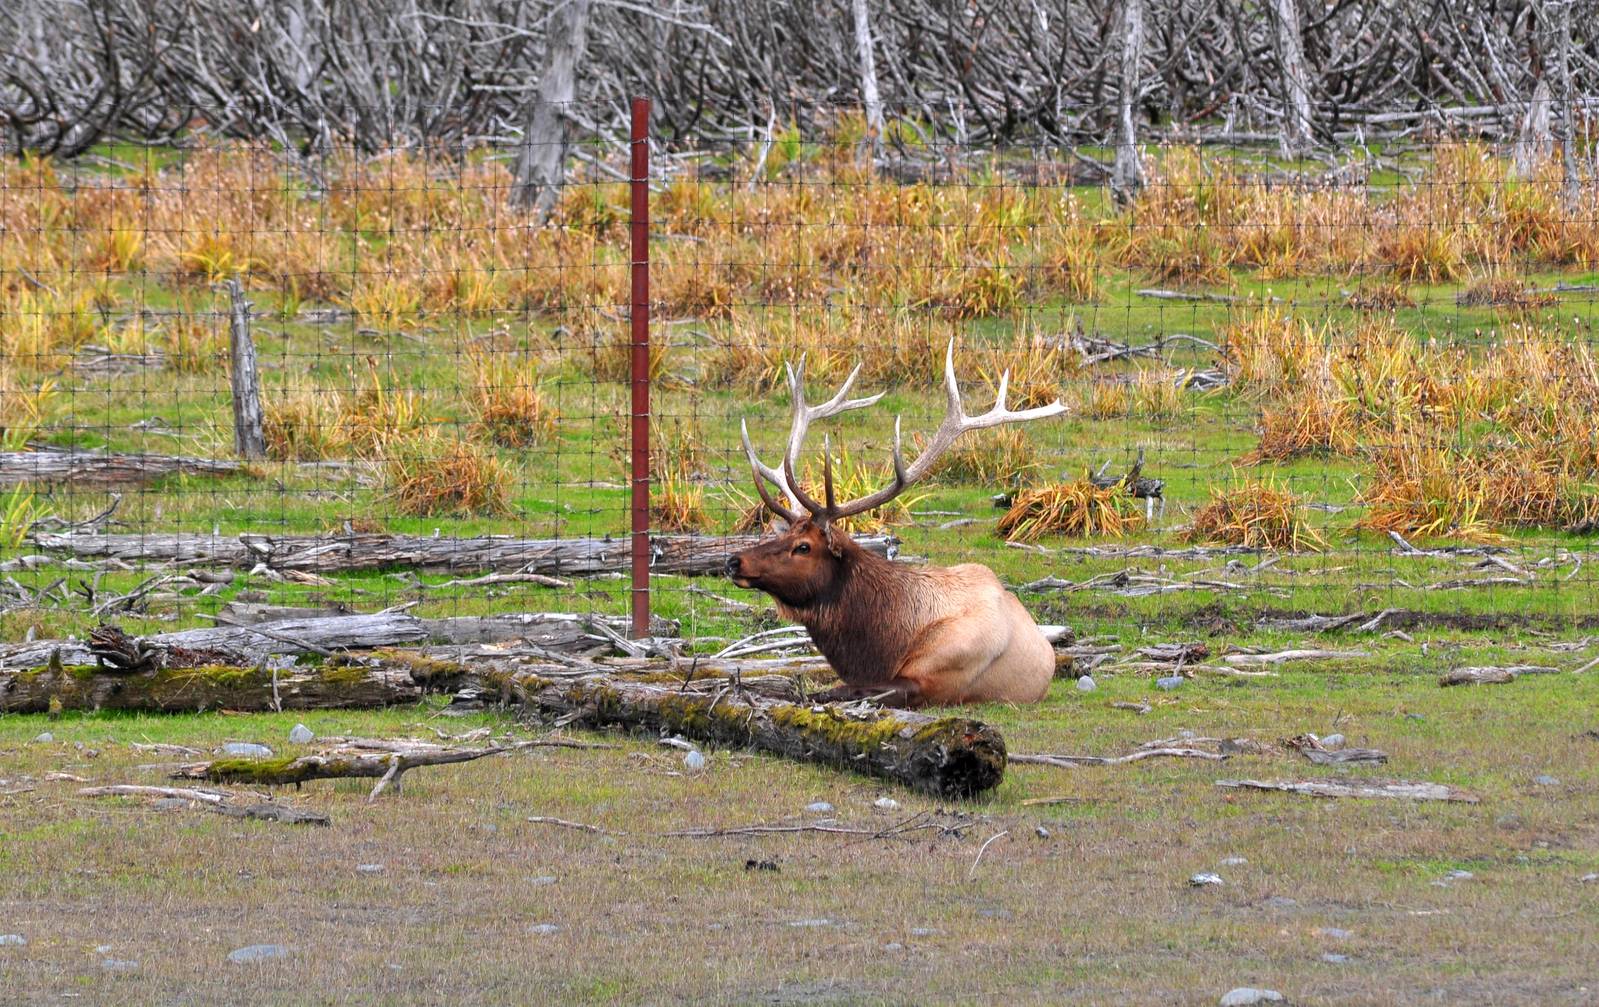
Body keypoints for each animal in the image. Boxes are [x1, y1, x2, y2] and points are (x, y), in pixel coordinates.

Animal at [725, 342, 1067, 708]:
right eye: (785, 534)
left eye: (804, 547)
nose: (733, 560)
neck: (882, 647)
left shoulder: (932, 682)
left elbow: (847, 690)